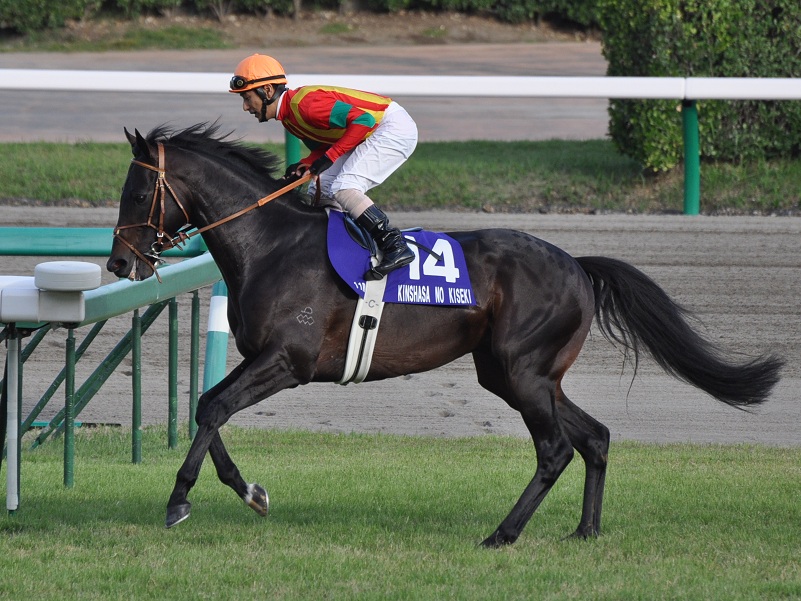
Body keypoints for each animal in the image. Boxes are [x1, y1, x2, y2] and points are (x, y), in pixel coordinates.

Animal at [107, 122, 783, 547]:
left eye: (137, 192)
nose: (118, 264)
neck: (270, 244)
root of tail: (575, 264)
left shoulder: (287, 362)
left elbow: (213, 407)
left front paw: (179, 500)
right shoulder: (264, 361)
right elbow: (208, 408)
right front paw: (250, 492)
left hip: (520, 371)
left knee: (555, 449)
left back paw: (503, 534)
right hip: (524, 374)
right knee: (594, 437)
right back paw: (585, 530)